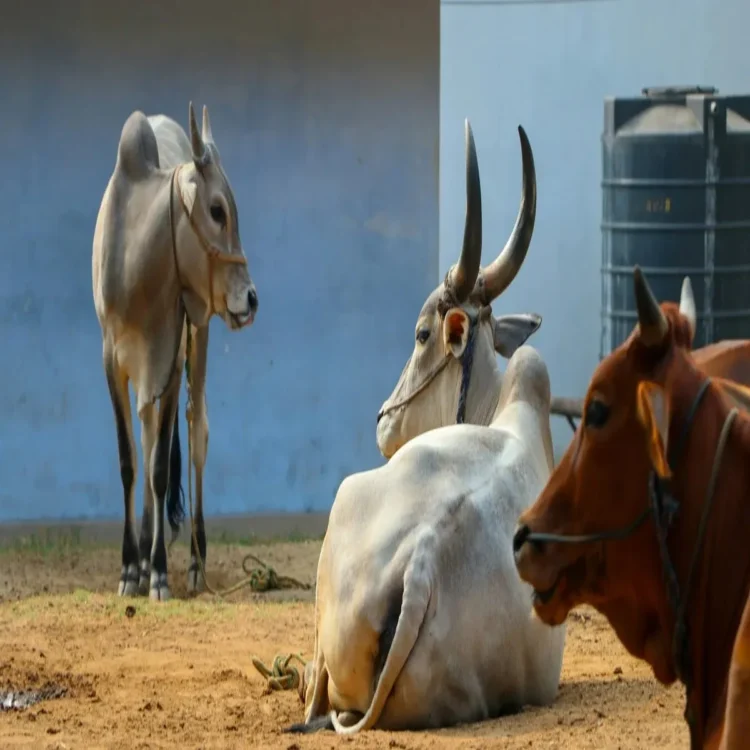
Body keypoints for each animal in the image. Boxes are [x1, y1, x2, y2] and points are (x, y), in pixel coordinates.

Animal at [92, 102, 258, 601]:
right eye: (217, 210)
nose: (250, 298)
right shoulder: (112, 362)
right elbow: (131, 462)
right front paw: (132, 566)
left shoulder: (170, 357)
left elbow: (161, 467)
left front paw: (161, 574)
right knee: (146, 435)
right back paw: (147, 551)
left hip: (197, 342)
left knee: (196, 430)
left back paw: (194, 562)